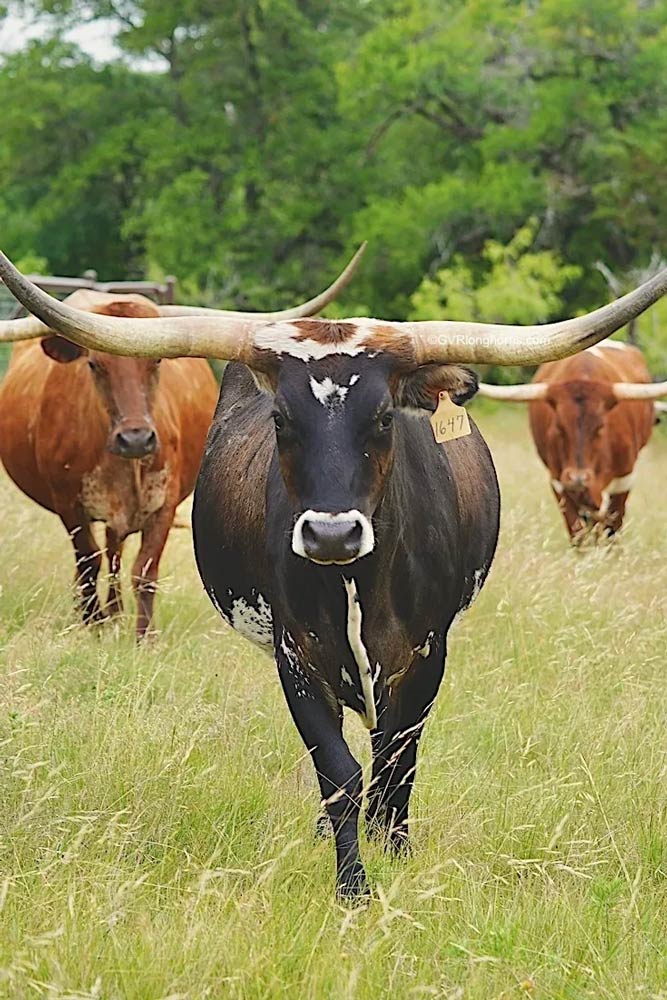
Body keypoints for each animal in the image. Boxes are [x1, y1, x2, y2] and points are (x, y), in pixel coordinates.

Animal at [480, 338, 667, 544]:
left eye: (600, 427)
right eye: (559, 427)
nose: (578, 478)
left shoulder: (623, 481)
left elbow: (612, 532)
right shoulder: (559, 483)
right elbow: (578, 535)